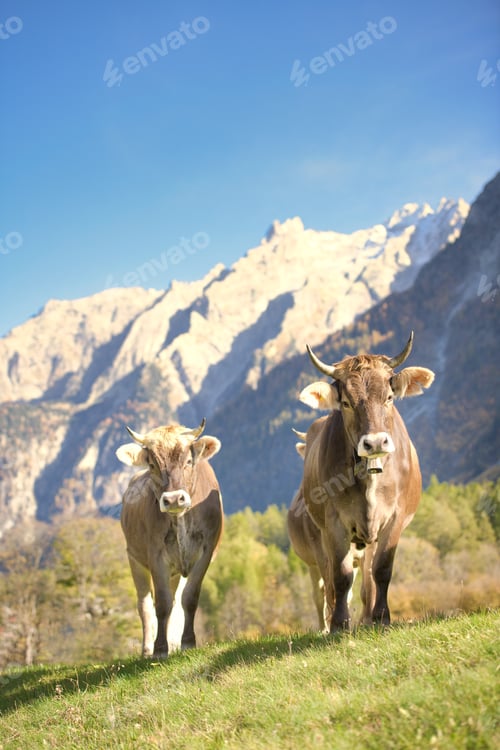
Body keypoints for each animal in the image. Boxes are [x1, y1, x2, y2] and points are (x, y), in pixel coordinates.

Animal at [116, 418, 223, 657]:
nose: (173, 499)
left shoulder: (206, 551)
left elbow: (189, 598)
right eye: (152, 465)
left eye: (189, 461)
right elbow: (162, 604)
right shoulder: (155, 556)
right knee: (145, 605)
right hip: (134, 559)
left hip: (175, 571)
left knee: (175, 600)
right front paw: (160, 649)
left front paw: (188, 642)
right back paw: (147, 649)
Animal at [297, 332, 434, 631]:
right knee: (331, 581)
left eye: (390, 397)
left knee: (369, 577)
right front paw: (339, 624)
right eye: (346, 403)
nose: (375, 442)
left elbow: (381, 570)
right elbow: (340, 576)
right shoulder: (334, 523)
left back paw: (369, 617)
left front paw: (382, 617)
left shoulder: (395, 518)